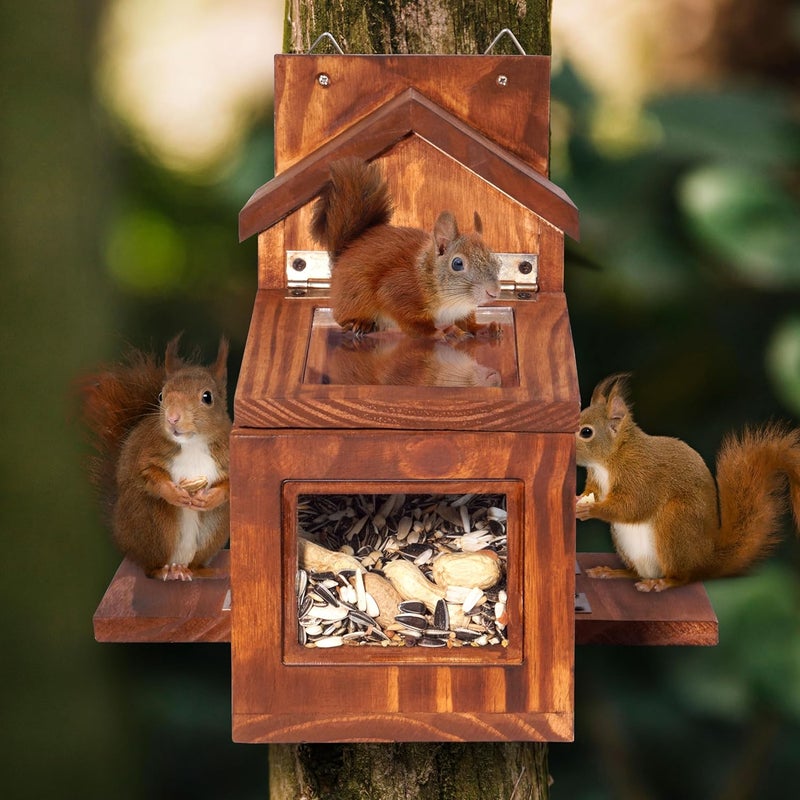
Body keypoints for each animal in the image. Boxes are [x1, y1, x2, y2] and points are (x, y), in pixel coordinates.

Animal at [81, 336, 232, 581]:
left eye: (207, 397)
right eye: (161, 396)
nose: (172, 418)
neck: (192, 444)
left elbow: (230, 484)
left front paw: (211, 497)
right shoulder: (147, 452)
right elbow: (148, 474)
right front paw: (174, 493)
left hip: (214, 528)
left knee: (196, 562)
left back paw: (201, 571)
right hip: (153, 524)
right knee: (150, 567)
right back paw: (166, 571)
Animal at [310, 157, 502, 339]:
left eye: (497, 262)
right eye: (457, 263)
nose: (493, 293)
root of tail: (346, 251)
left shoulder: (461, 311)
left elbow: (468, 323)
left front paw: (484, 328)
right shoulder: (397, 292)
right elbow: (415, 326)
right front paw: (443, 332)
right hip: (355, 296)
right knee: (343, 317)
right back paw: (360, 323)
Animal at [575, 373, 800, 592]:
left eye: (586, 432)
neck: (608, 460)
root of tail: (706, 560)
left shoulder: (642, 475)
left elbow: (634, 505)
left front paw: (590, 509)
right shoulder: (596, 480)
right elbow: (593, 492)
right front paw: (578, 499)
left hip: (675, 523)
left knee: (683, 577)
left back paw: (661, 583)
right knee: (638, 573)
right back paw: (612, 572)